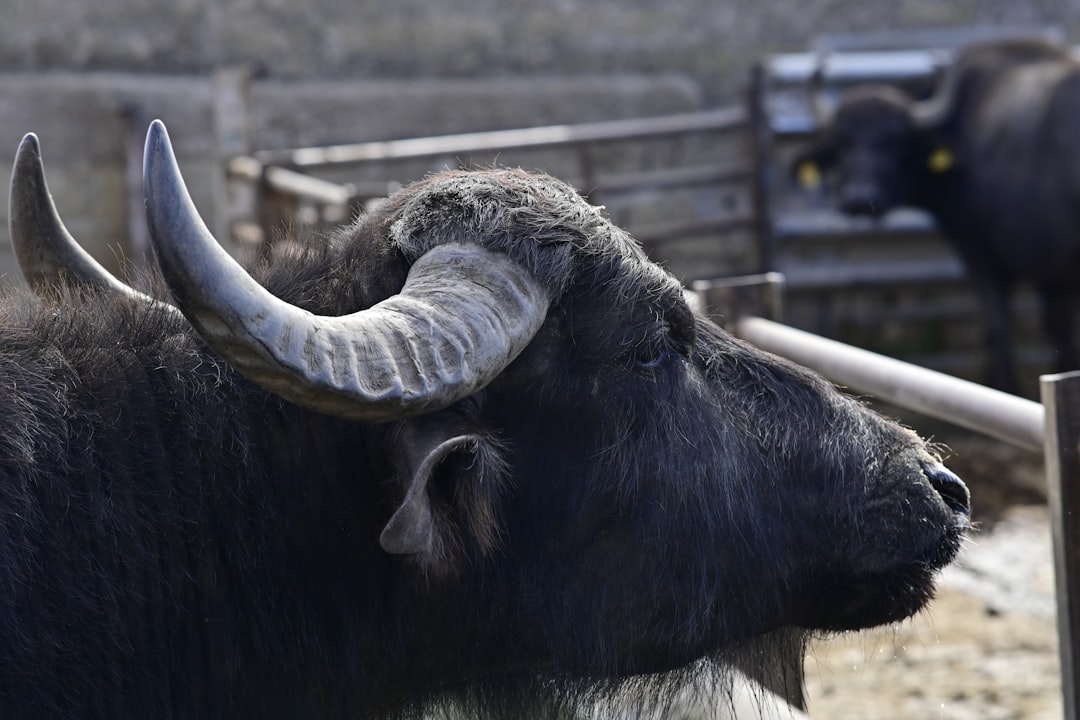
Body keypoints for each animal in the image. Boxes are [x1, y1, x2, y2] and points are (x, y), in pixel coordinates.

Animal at [792, 37, 1080, 394]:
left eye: (894, 141)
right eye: (842, 142)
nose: (859, 199)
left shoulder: (990, 256)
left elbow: (1001, 325)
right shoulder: (1052, 276)